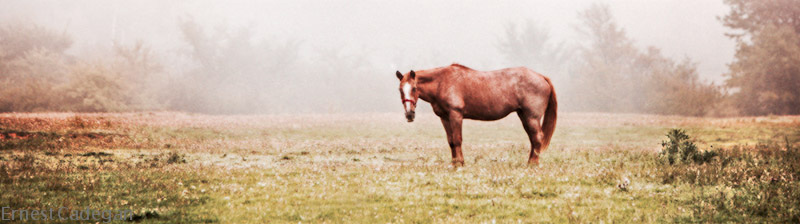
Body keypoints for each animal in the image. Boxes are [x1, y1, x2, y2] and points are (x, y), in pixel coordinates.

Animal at [394, 64, 556, 165]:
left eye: (414, 88)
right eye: (400, 89)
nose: (409, 114)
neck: (442, 82)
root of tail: (542, 77)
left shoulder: (456, 115)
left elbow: (457, 140)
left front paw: (460, 163)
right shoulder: (444, 118)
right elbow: (451, 141)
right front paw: (454, 163)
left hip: (532, 117)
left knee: (537, 138)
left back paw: (532, 164)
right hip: (524, 116)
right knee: (533, 139)